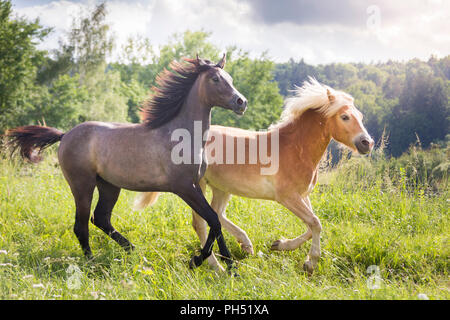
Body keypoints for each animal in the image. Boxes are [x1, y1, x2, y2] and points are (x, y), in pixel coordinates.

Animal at [5, 55, 248, 272]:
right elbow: (213, 220)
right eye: (215, 79)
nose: (241, 102)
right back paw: (92, 263)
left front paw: (229, 266)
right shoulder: (184, 188)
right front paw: (198, 261)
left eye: (230, 78)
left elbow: (214, 221)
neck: (180, 136)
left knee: (101, 218)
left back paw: (132, 250)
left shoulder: (195, 185)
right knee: (81, 225)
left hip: (109, 186)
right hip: (82, 185)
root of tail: (65, 135)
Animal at [135, 78, 374, 276]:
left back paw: (246, 245)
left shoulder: (303, 195)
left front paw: (279, 245)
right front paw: (310, 263)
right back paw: (216, 265)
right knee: (201, 222)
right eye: (344, 117)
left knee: (217, 214)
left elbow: (311, 225)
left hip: (222, 188)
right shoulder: (287, 197)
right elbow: (315, 223)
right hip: (197, 185)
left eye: (361, 116)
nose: (367, 143)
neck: (295, 148)